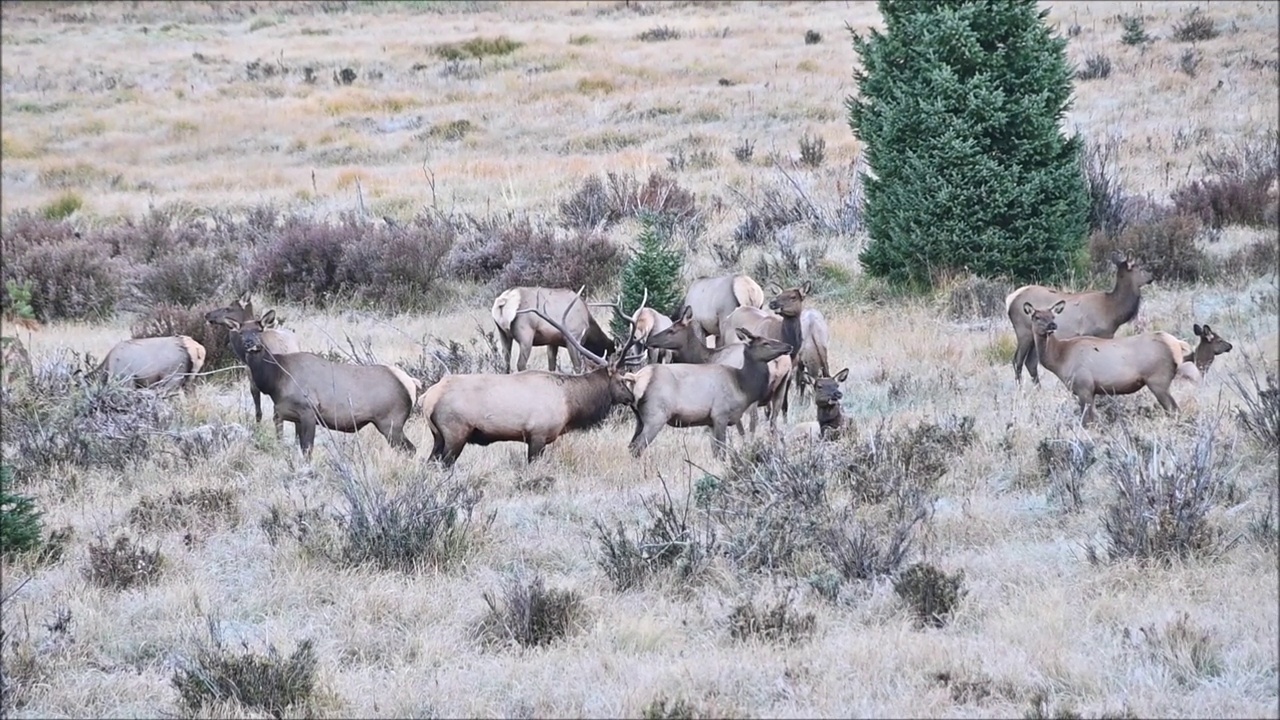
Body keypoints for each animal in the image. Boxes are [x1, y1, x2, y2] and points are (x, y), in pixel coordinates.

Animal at [217, 316, 417, 456]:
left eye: (259, 330)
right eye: (241, 332)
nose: (250, 344)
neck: (276, 381)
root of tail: (412, 385)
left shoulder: (308, 411)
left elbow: (307, 449)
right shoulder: (285, 414)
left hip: (391, 422)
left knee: (411, 450)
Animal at [419, 286, 645, 466]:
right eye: (622, 380)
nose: (631, 397)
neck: (570, 405)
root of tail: (427, 398)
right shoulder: (538, 434)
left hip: (438, 436)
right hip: (454, 433)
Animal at [624, 327, 793, 456]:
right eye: (765, 342)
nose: (789, 346)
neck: (742, 386)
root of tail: (636, 378)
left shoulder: (710, 421)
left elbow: (715, 451)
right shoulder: (720, 414)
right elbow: (722, 450)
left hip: (640, 419)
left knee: (631, 446)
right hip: (656, 415)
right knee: (638, 447)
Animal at [1003, 249, 1157, 384]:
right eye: (1141, 267)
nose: (1152, 277)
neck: (1113, 310)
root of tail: (1010, 299)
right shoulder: (1096, 332)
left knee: (1031, 362)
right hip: (1024, 331)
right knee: (1017, 360)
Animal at [1024, 298, 1182, 422]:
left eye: (1052, 316)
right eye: (1036, 317)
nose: (1052, 325)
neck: (1060, 359)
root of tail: (1177, 347)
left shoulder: (1084, 385)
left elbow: (1087, 420)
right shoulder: (1090, 390)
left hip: (1158, 379)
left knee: (1174, 410)